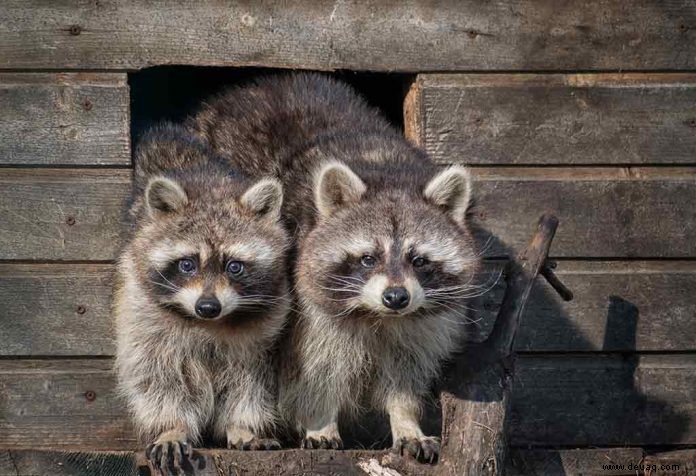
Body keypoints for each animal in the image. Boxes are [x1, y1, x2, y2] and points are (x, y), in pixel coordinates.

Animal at [115, 122, 290, 472]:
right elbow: (156, 377)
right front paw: (171, 428)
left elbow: (251, 381)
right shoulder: (141, 313)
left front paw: (243, 426)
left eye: (234, 266)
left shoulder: (266, 329)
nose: (208, 306)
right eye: (187, 264)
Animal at [185, 73, 482, 462]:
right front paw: (320, 421)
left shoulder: (419, 326)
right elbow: (315, 366)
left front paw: (406, 421)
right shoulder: (303, 305)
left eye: (418, 260)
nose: (396, 297)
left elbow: (405, 372)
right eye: (369, 258)